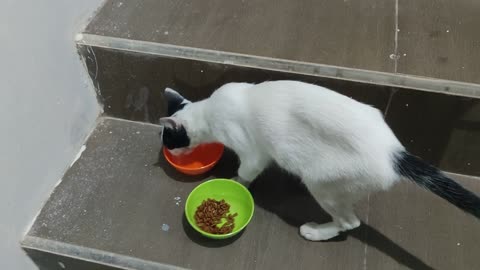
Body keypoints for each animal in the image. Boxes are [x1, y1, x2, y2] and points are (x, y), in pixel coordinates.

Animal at [158, 79, 480, 240]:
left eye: (169, 141)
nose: (169, 153)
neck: (209, 111)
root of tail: (393, 152)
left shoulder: (253, 153)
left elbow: (247, 171)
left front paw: (236, 181)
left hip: (324, 186)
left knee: (350, 223)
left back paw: (316, 231)